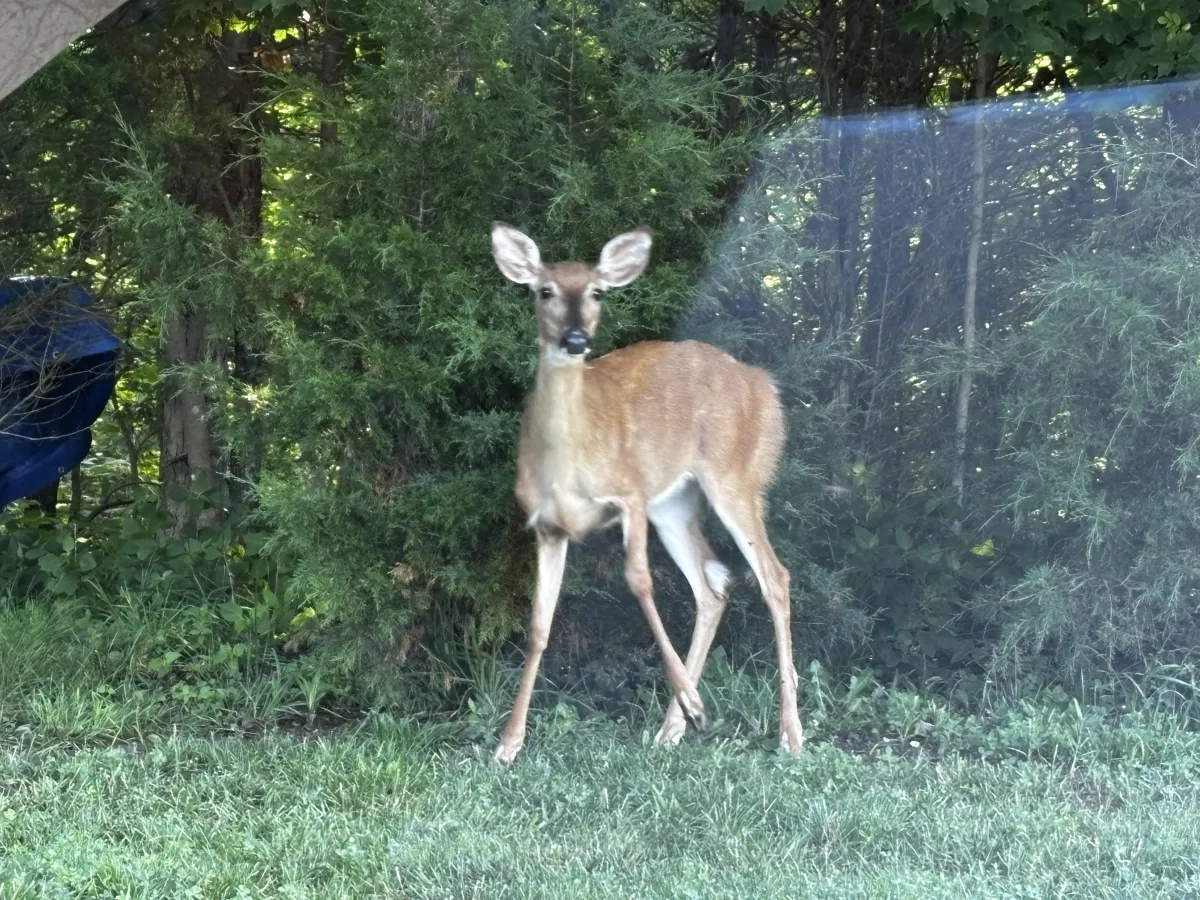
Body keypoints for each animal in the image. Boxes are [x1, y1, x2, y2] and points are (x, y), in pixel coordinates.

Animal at [489, 221, 803, 765]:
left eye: (597, 292)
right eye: (544, 291)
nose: (575, 339)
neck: (566, 460)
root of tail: (766, 387)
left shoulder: (629, 492)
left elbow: (639, 581)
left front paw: (694, 701)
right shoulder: (547, 525)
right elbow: (539, 625)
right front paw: (508, 744)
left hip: (735, 475)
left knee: (773, 577)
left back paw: (790, 735)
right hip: (673, 504)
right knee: (713, 584)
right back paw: (672, 728)